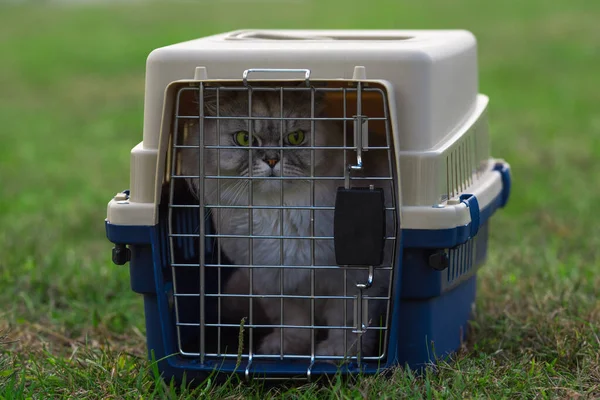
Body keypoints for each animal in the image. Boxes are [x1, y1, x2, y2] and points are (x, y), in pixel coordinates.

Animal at [179, 85, 394, 360]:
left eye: (295, 138)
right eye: (244, 139)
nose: (272, 160)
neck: (276, 212)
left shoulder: (354, 282)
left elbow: (347, 323)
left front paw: (338, 353)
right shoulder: (272, 282)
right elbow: (295, 324)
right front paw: (286, 349)